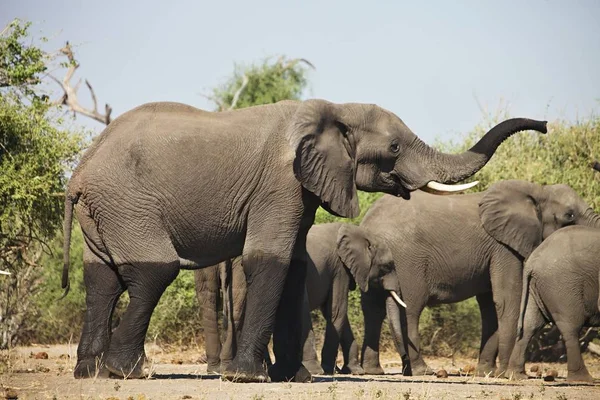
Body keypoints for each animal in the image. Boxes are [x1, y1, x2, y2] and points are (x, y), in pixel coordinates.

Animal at [302, 222, 406, 376]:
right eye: (387, 266)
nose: (404, 359)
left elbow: (335, 313)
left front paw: (354, 370)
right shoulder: (339, 268)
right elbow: (337, 310)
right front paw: (328, 370)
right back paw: (315, 370)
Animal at [358, 180, 596, 376]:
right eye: (569, 216)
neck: (537, 192)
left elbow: (490, 305)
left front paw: (486, 373)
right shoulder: (503, 248)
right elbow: (507, 300)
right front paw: (504, 374)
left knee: (373, 310)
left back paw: (377, 371)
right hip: (407, 260)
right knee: (411, 308)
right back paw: (421, 371)